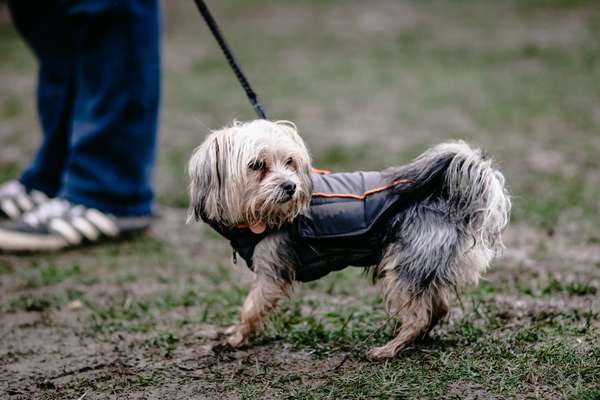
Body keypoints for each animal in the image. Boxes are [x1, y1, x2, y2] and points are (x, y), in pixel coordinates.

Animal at [189, 119, 510, 360]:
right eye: (257, 165)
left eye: (290, 162)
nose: (291, 186)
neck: (256, 215)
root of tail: (451, 197)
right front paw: (233, 334)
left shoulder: (270, 273)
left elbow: (251, 308)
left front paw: (236, 338)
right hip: (420, 265)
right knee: (437, 308)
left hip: (400, 265)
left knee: (420, 314)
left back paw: (389, 348)